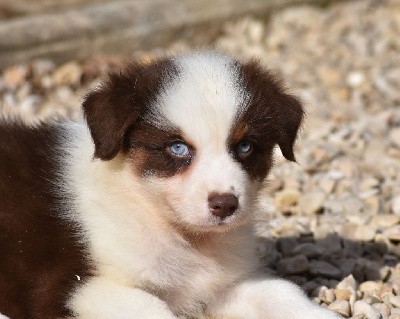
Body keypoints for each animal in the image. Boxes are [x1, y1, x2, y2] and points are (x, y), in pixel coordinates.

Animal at [0, 51, 340, 318]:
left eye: (245, 146)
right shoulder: (74, 288)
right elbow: (152, 309)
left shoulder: (217, 285)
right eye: (177, 148)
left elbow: (280, 292)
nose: (225, 205)